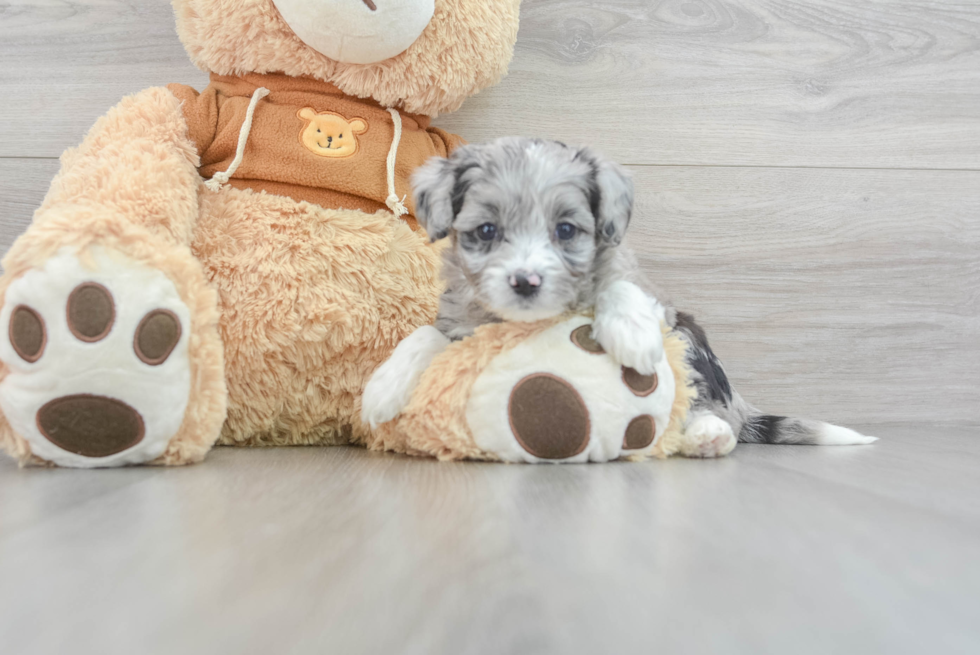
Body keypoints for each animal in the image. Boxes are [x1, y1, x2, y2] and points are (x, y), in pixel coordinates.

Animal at [364, 138, 876, 456]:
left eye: (566, 230)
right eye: (487, 231)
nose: (526, 282)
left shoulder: (649, 294)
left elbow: (623, 286)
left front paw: (632, 334)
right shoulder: (459, 321)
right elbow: (426, 334)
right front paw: (384, 386)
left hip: (691, 340)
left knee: (706, 405)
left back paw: (707, 433)